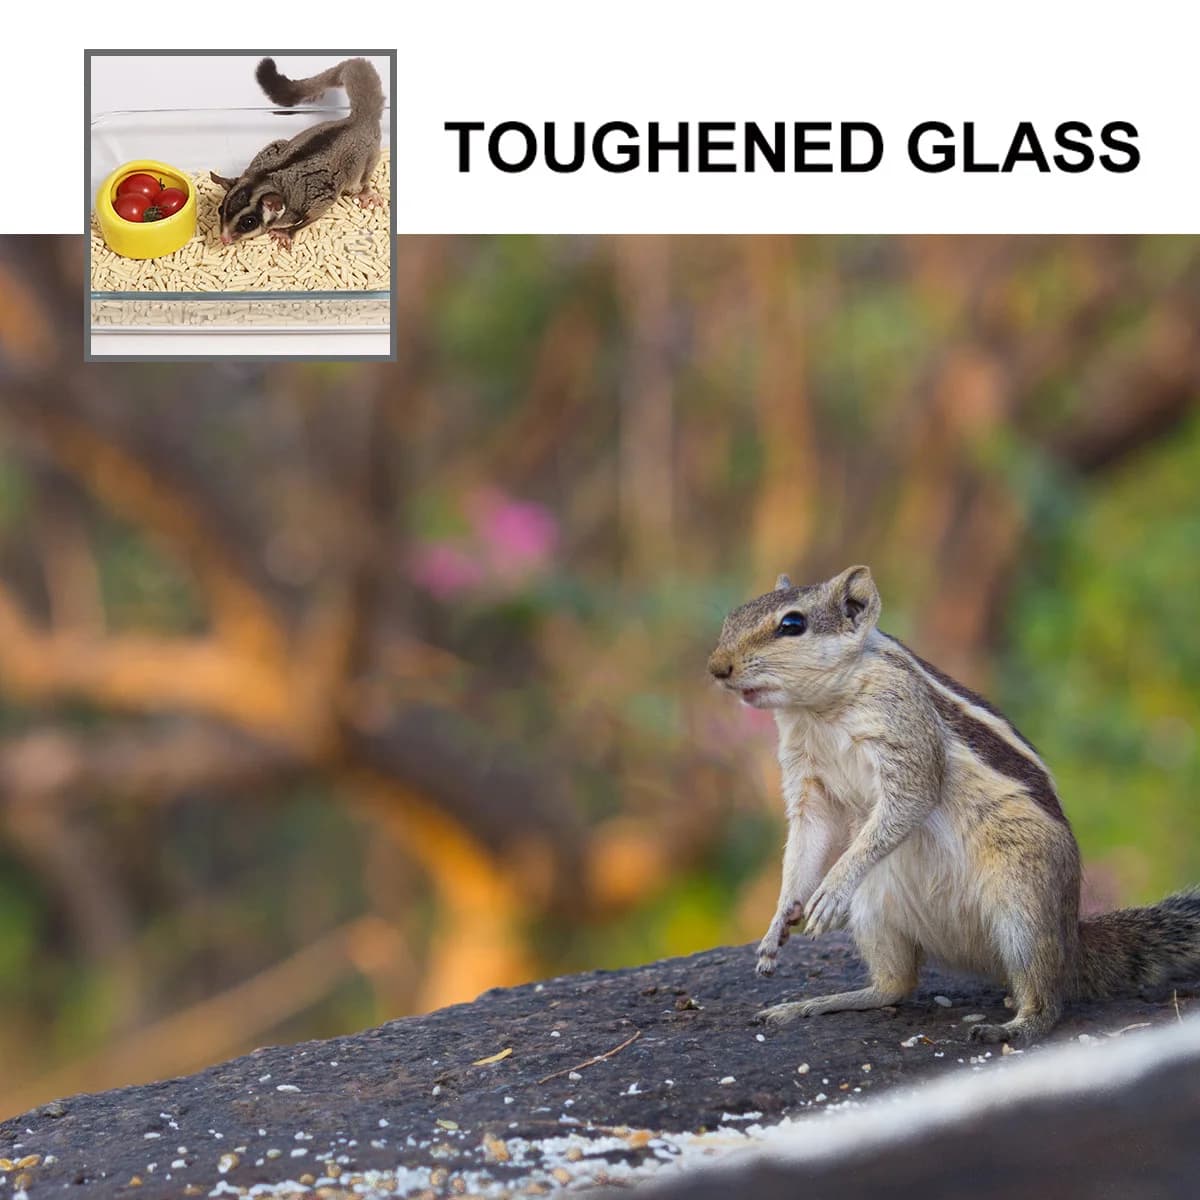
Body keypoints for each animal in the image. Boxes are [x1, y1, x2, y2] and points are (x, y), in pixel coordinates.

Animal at [708, 564, 1200, 1044]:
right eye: (732, 618)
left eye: (792, 624)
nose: (716, 668)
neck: (819, 709)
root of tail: (1072, 941)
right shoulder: (807, 780)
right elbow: (805, 840)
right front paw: (779, 921)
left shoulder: (905, 728)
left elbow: (910, 798)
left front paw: (830, 889)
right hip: (875, 910)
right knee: (896, 987)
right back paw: (815, 1003)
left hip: (1024, 904)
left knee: (1047, 996)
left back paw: (1016, 1025)